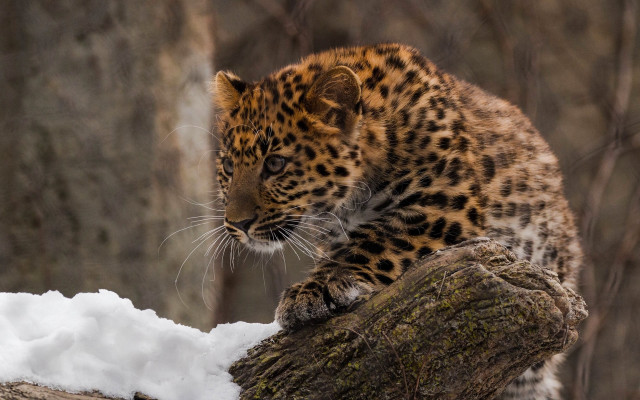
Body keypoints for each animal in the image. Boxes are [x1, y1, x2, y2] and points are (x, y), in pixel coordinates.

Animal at [212, 43, 582, 400]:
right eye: (229, 167)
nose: (237, 224)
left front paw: (312, 291)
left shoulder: (447, 207)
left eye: (276, 164)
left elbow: (372, 241)